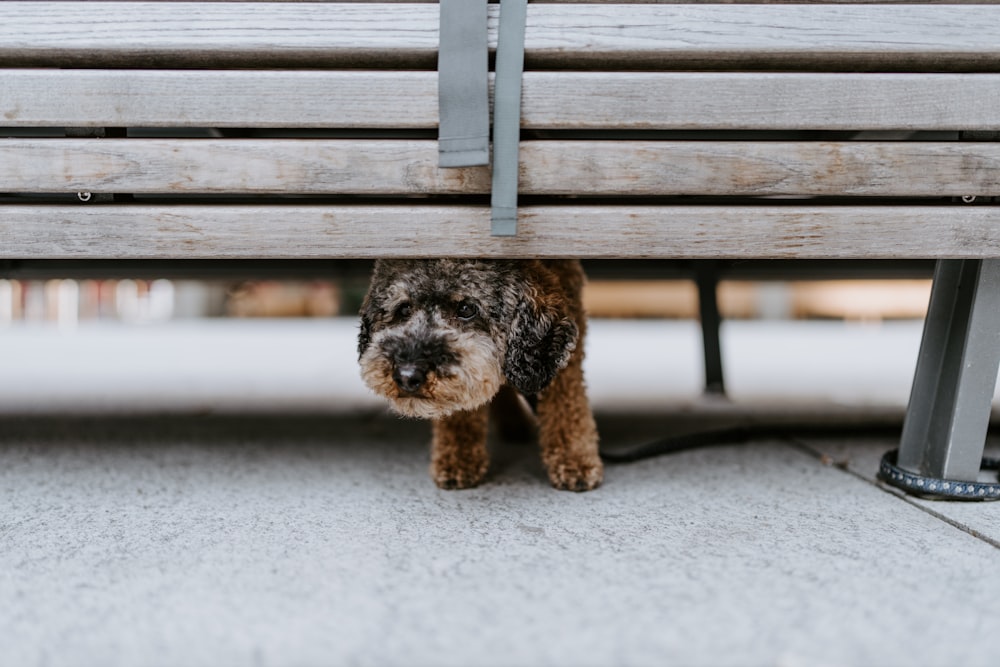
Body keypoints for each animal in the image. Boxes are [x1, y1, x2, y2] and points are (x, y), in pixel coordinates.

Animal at [358, 258, 600, 494]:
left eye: (466, 308)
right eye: (404, 309)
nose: (407, 376)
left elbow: (566, 403)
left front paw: (575, 460)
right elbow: (462, 406)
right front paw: (458, 460)